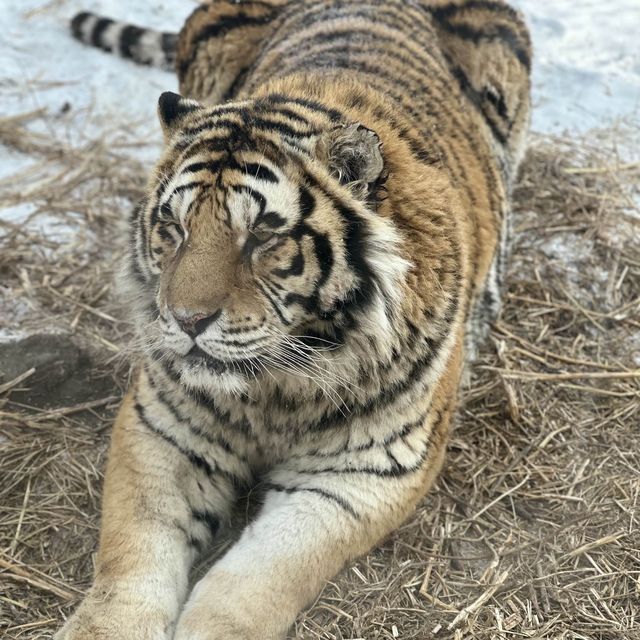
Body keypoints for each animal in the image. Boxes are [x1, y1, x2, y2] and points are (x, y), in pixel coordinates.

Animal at [58, 1, 528, 640]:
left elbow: (253, 582)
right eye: (174, 227)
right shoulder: (162, 431)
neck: (273, 390)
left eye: (261, 235)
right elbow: (131, 558)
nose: (185, 320)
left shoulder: (362, 473)